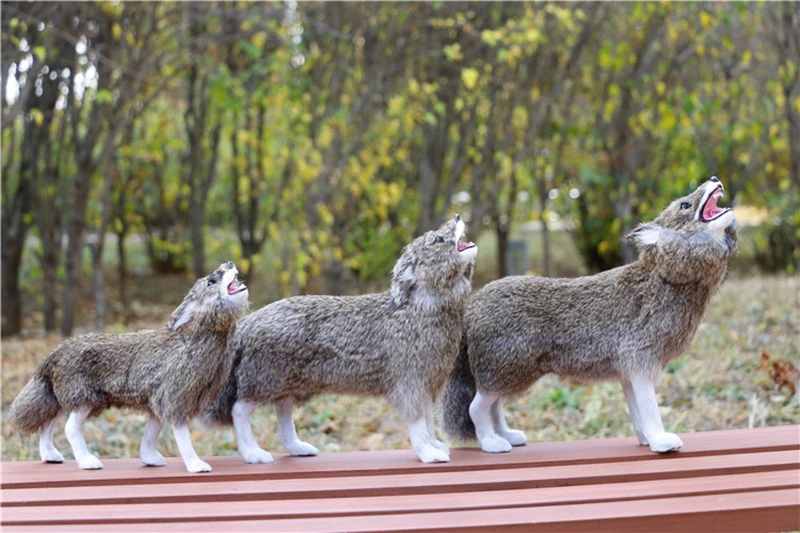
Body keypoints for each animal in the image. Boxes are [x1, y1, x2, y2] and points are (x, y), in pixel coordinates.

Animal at [9, 262, 249, 472]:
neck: (202, 332)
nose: (230, 263)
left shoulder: (156, 404)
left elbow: (150, 434)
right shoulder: (174, 399)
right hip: (84, 399)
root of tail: (52, 356)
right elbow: (182, 436)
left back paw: (51, 455)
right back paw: (88, 462)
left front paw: (151, 460)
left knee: (48, 423)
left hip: (70, 398)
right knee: (70, 428)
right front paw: (196, 466)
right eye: (210, 282)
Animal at [204, 215, 477, 463]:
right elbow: (418, 423)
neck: (421, 304)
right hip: (263, 380)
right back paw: (254, 455)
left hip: (290, 384)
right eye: (437, 239)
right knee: (239, 410)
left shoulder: (430, 384)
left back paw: (299, 448)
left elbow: (429, 421)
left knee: (282, 411)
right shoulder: (411, 383)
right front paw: (430, 455)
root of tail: (247, 325)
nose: (457, 216)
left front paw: (437, 446)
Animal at [442, 177, 737, 454]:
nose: (714, 178)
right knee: (477, 407)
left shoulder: (628, 373)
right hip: (507, 369)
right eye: (685, 206)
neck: (665, 277)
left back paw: (508, 437)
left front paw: (645, 440)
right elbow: (649, 408)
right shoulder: (641, 361)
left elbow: (636, 413)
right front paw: (662, 442)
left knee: (495, 406)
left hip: (510, 374)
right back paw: (492, 444)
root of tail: (470, 312)